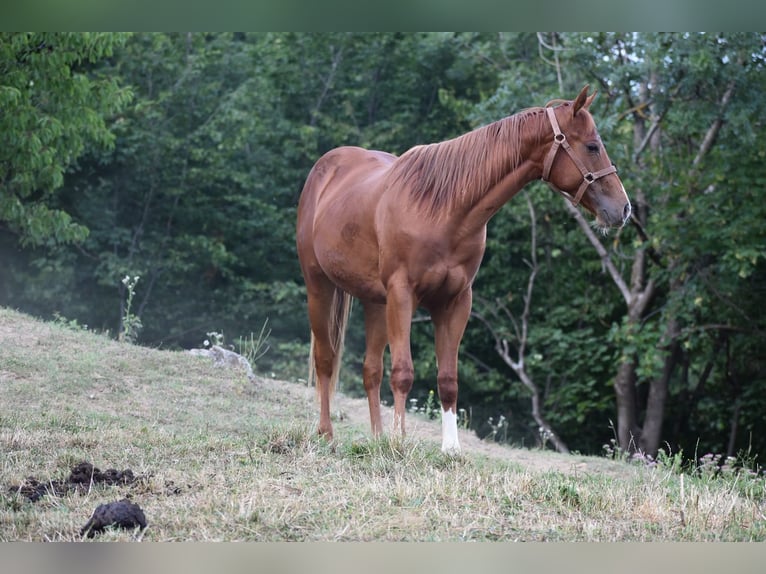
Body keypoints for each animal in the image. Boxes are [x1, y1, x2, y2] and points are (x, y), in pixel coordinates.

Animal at [296, 85, 630, 454]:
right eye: (592, 146)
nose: (624, 209)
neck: (443, 209)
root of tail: (326, 167)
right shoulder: (402, 295)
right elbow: (403, 372)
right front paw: (399, 443)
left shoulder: (455, 302)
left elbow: (448, 379)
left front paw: (450, 449)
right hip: (319, 286)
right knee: (326, 360)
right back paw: (327, 434)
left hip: (375, 303)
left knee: (371, 370)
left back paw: (377, 438)